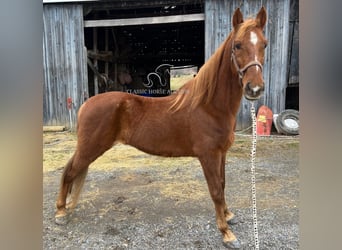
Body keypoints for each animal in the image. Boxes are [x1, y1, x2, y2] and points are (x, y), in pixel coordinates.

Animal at [54, 7, 268, 248]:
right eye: (237, 45)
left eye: (264, 44)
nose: (254, 88)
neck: (209, 106)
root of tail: (85, 104)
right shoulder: (208, 155)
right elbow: (215, 190)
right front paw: (226, 233)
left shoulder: (221, 154)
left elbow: (222, 184)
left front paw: (229, 215)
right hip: (90, 148)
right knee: (69, 172)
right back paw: (61, 212)